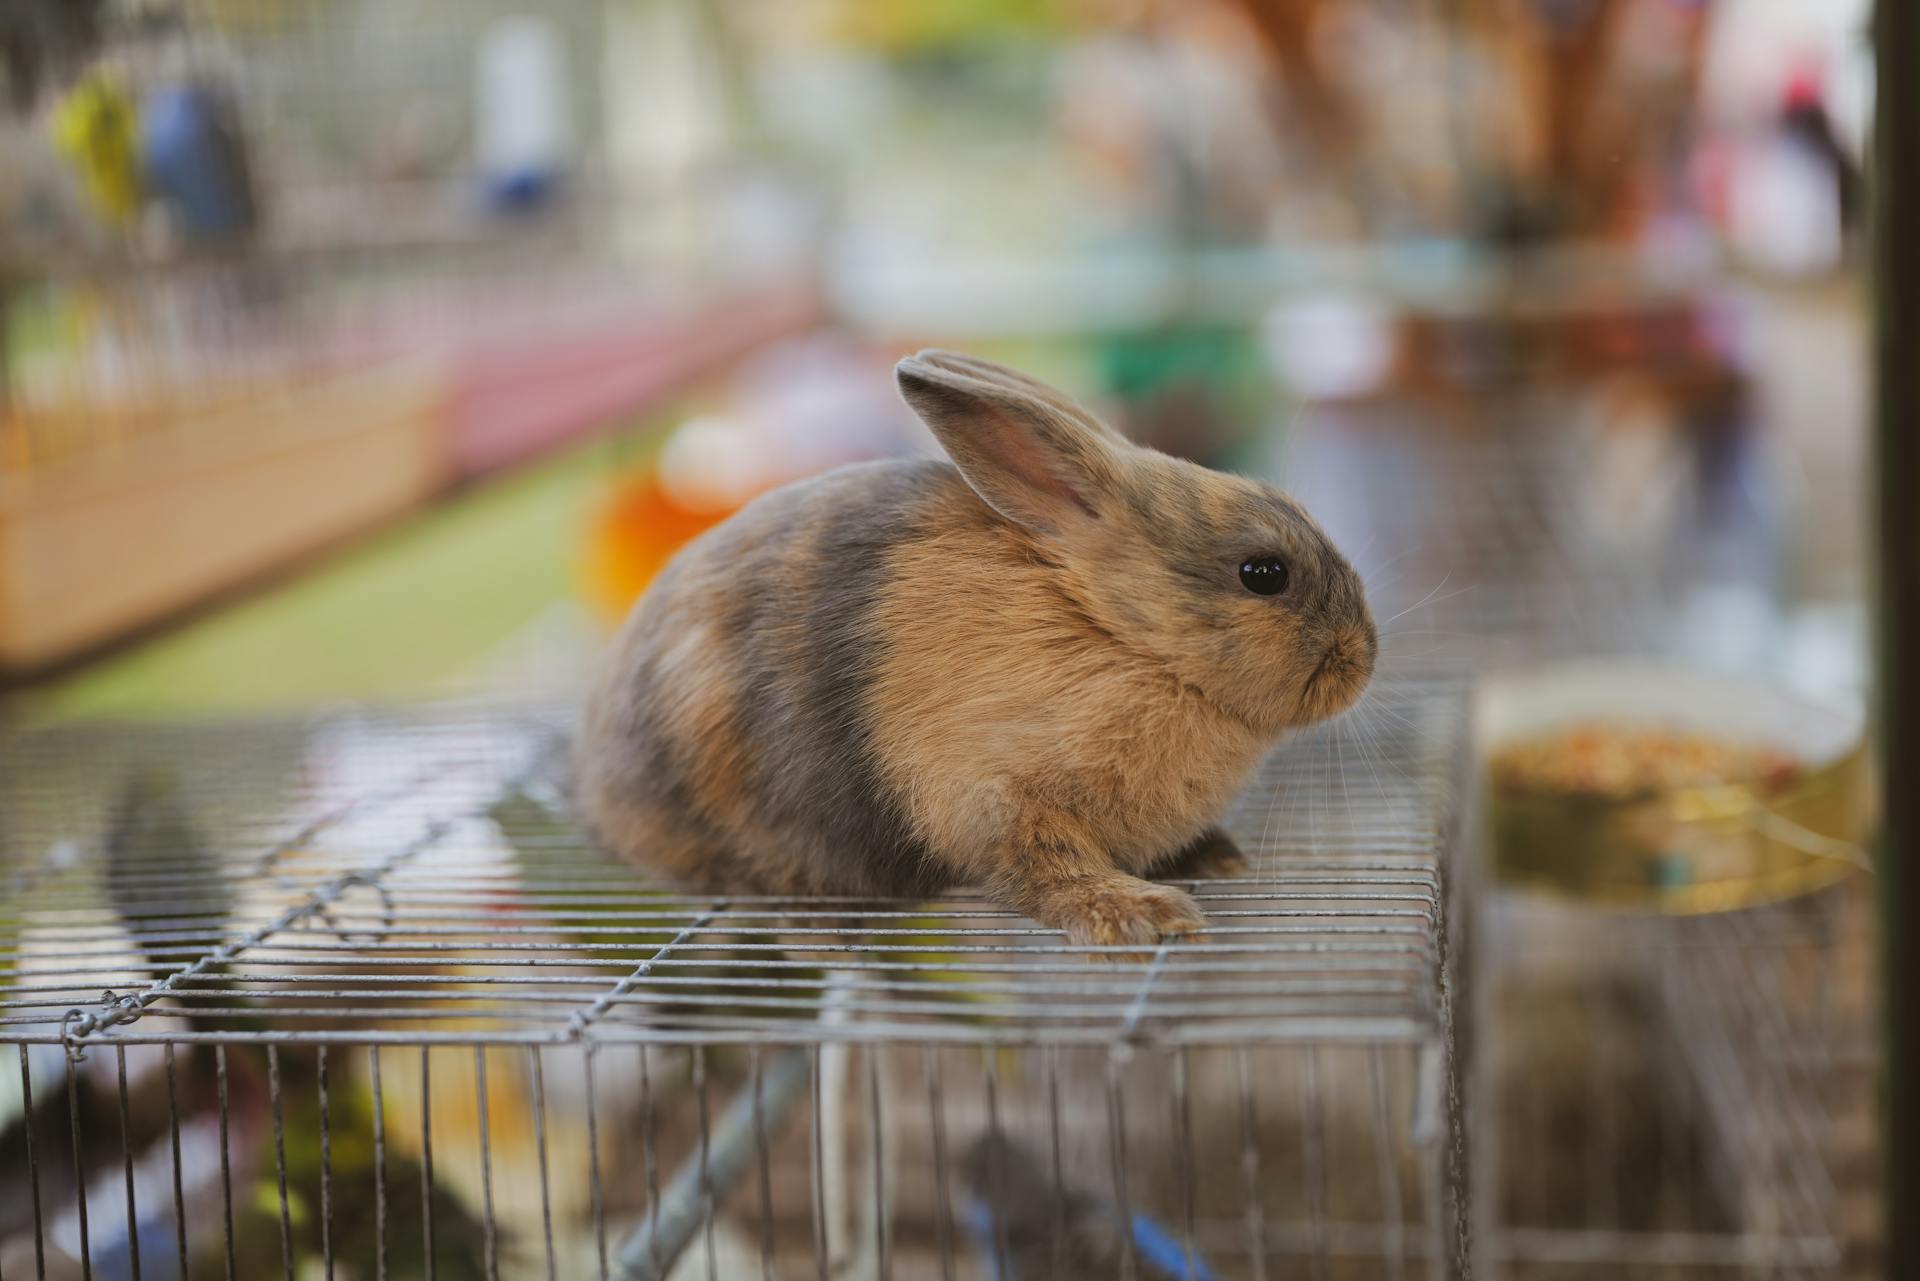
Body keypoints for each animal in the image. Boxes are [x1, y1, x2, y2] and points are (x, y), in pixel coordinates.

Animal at [572, 345, 1382, 948]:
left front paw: (1217, 855)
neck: (1117, 633)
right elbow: (1045, 869)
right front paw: (1140, 915)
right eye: (1264, 574)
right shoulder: (995, 796)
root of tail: (597, 786)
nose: (1363, 659)